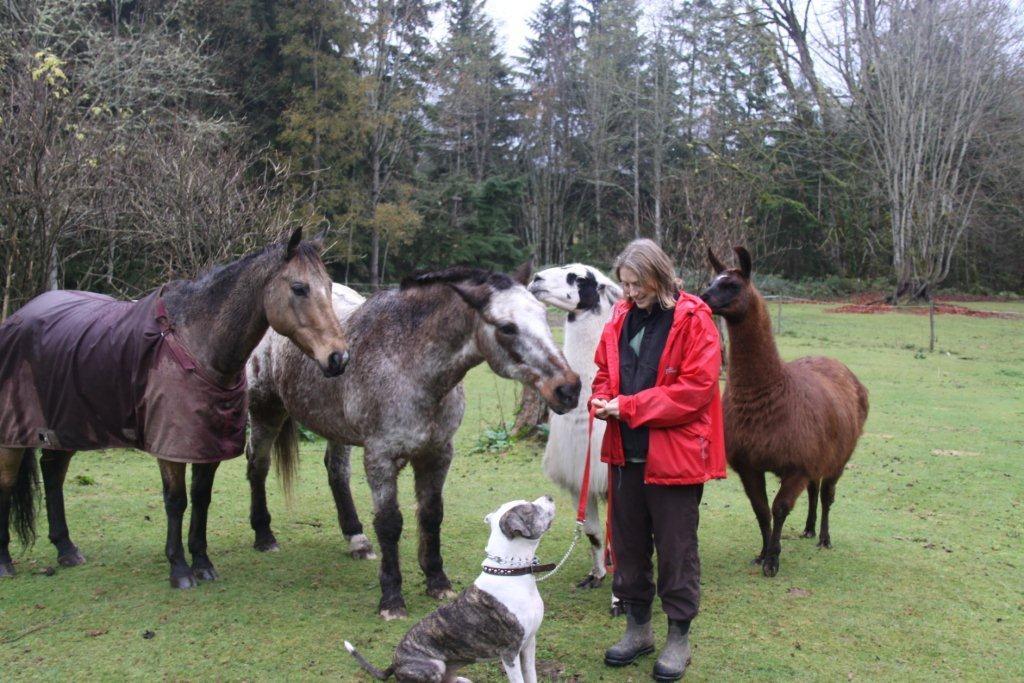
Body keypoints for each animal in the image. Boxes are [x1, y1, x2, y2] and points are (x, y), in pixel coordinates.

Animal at [0, 228, 349, 588]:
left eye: (328, 286)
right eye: (299, 288)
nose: (338, 357)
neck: (196, 346)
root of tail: (18, 317)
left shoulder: (207, 443)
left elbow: (201, 497)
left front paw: (202, 562)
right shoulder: (171, 445)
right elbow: (176, 500)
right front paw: (180, 569)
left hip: (67, 427)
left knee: (53, 473)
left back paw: (66, 549)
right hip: (13, 432)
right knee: (7, 483)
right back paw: (5, 562)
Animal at [245, 263, 581, 619]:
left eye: (544, 316)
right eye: (507, 327)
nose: (568, 389)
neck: (408, 365)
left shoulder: (438, 453)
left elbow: (432, 515)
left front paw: (437, 581)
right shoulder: (380, 457)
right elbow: (390, 523)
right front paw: (392, 598)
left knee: (336, 472)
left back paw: (356, 539)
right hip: (266, 410)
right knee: (258, 466)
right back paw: (264, 536)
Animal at [700, 247, 869, 577]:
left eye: (732, 285)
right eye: (713, 280)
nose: (703, 297)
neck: (769, 399)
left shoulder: (797, 463)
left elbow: (779, 509)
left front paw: (773, 560)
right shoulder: (750, 464)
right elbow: (761, 510)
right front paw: (761, 553)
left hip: (840, 454)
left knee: (827, 494)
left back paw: (824, 538)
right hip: (820, 450)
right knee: (815, 490)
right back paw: (808, 529)